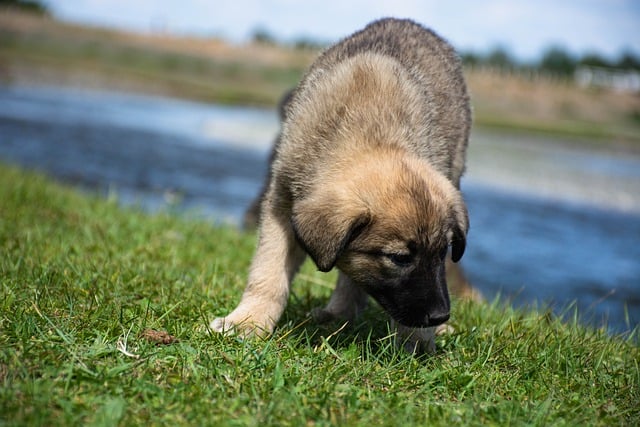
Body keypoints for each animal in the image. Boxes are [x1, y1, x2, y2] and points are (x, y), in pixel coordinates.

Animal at [212, 18, 472, 352]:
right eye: (400, 258)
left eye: (443, 252)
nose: (440, 315)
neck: (371, 133)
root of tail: (406, 21)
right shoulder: (281, 201)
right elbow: (268, 270)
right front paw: (248, 322)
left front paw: (418, 341)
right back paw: (338, 314)